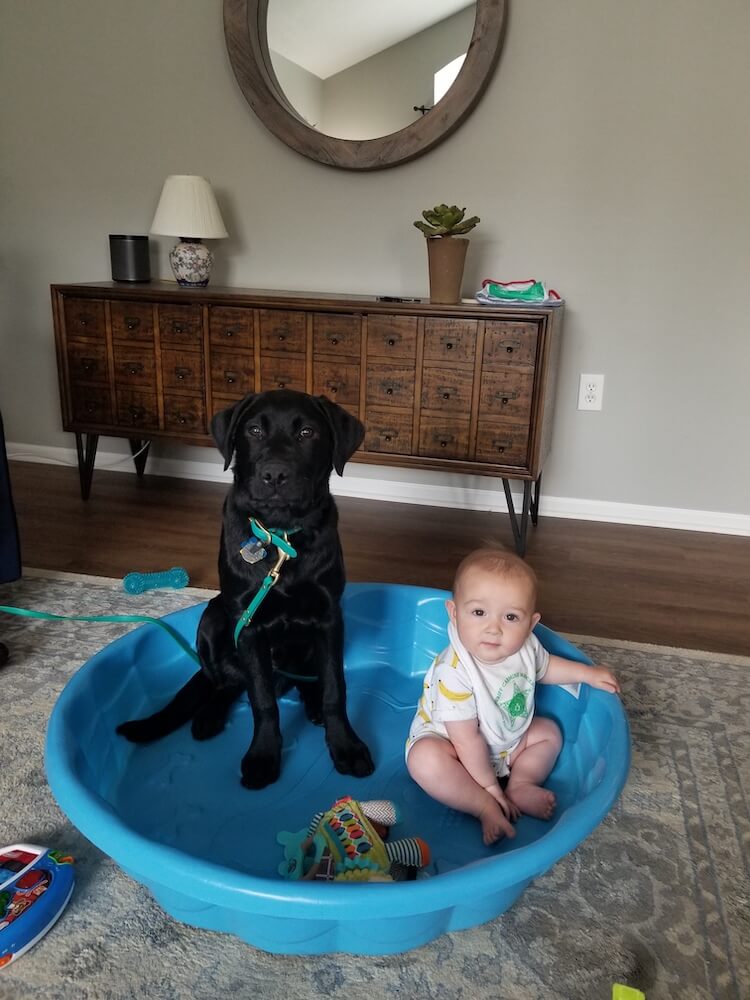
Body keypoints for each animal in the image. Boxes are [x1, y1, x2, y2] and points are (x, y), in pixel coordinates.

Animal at [118, 390, 376, 788]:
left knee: (306, 680)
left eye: (307, 432)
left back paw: (312, 703)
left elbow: (336, 687)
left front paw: (345, 746)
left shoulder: (329, 617)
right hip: (212, 618)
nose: (274, 474)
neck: (282, 538)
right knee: (223, 683)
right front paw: (263, 755)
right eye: (254, 430)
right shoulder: (249, 627)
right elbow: (262, 700)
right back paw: (208, 716)